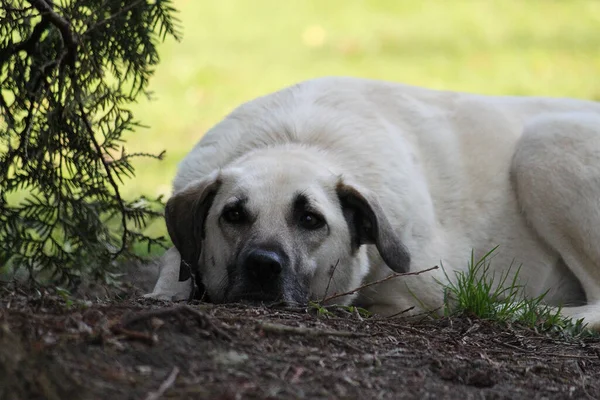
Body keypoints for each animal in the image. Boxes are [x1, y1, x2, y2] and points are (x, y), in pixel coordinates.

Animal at [148, 77, 600, 328]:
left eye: (311, 219)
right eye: (234, 214)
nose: (263, 265)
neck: (297, 140)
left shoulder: (417, 295)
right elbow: (173, 274)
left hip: (545, 143)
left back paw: (519, 310)